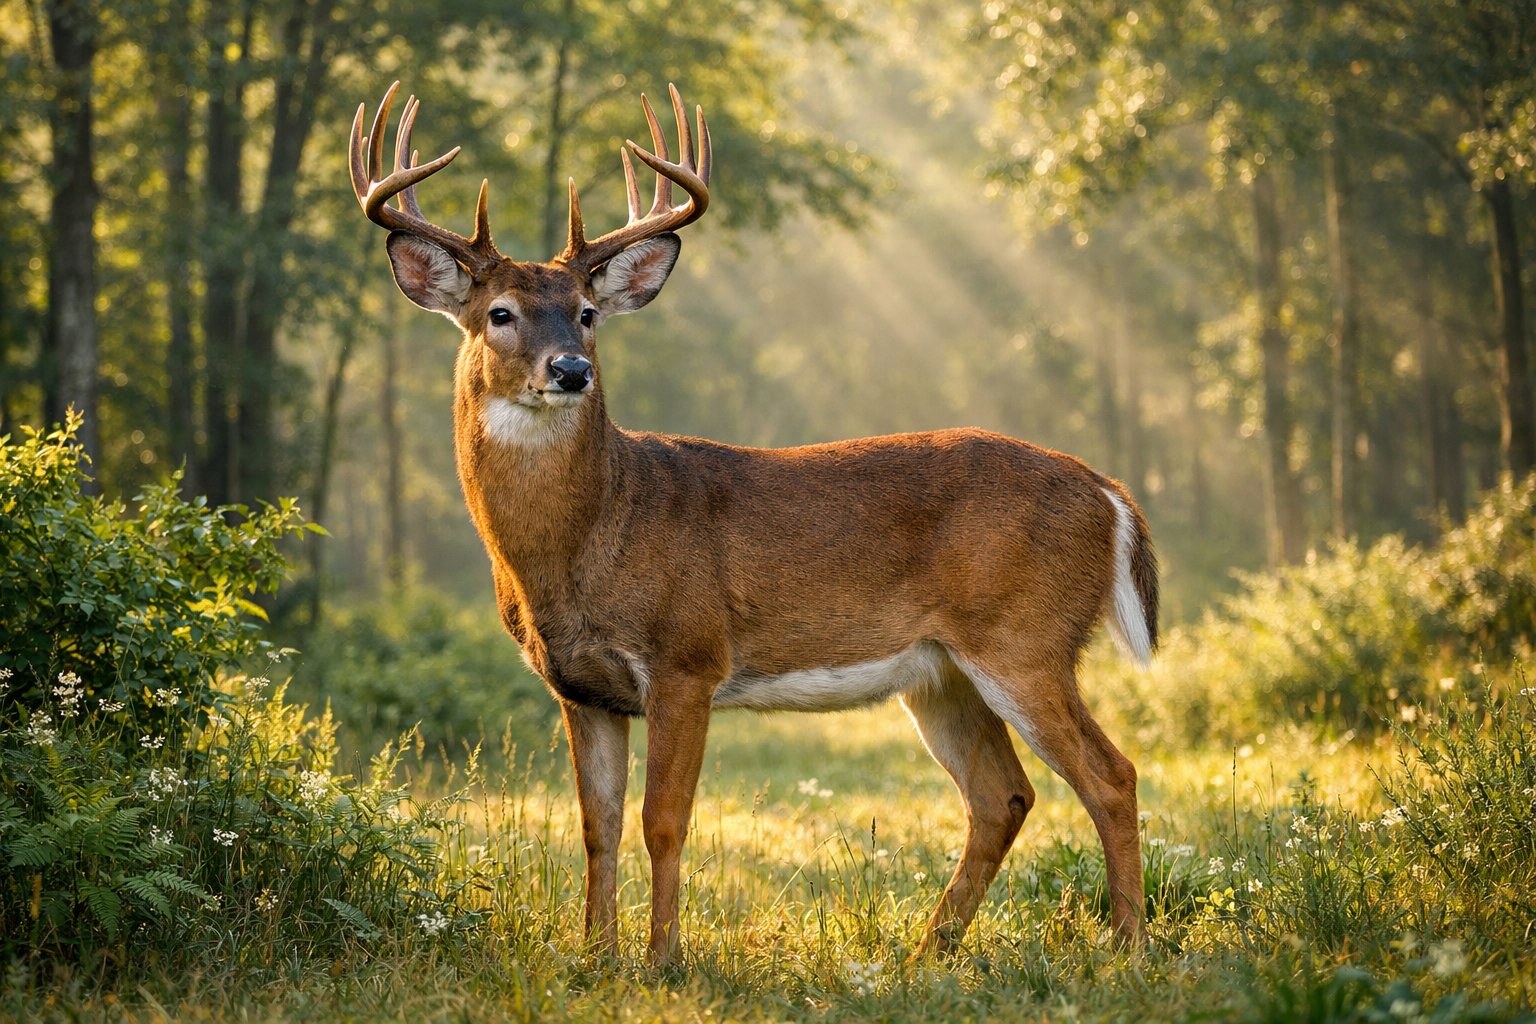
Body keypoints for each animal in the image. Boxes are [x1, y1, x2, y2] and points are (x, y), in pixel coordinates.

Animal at [348, 81, 1158, 964]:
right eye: (499, 312)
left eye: (588, 312)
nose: (569, 370)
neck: (591, 538)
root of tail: (1109, 492)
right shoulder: (581, 686)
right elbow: (597, 827)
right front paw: (594, 958)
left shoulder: (688, 655)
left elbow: (663, 821)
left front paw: (662, 961)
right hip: (942, 672)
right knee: (1002, 795)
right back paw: (926, 954)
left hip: (1026, 639)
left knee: (1112, 776)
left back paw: (1124, 945)